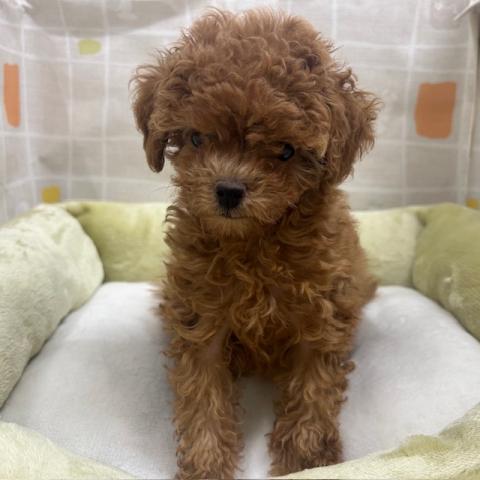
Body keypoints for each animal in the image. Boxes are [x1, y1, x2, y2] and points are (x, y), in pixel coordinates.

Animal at [132, 8, 378, 479]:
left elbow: (313, 388)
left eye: (285, 151)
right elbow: (203, 393)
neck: (254, 242)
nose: (228, 190)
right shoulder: (200, 315)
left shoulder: (323, 314)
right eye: (196, 138)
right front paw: (206, 464)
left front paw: (305, 460)